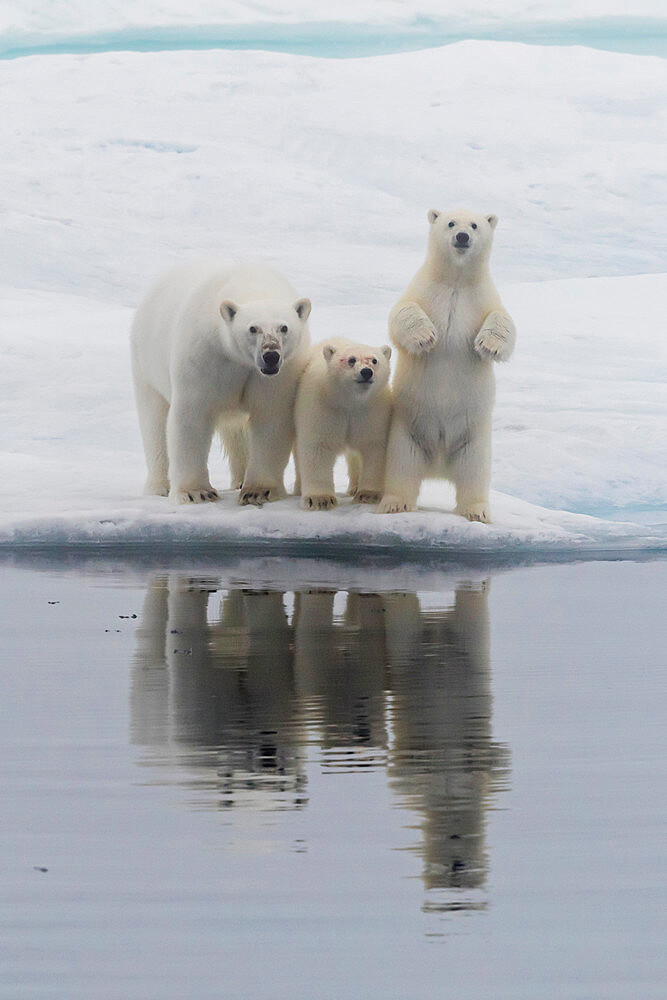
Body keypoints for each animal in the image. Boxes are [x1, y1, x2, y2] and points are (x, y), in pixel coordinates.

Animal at [130, 262, 314, 504]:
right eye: (252, 328)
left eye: (284, 327)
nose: (271, 355)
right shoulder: (206, 356)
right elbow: (192, 417)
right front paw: (196, 492)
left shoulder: (281, 374)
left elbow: (270, 418)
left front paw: (258, 491)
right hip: (146, 364)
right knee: (154, 422)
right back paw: (158, 486)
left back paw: (241, 480)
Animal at [296, 338, 392, 512]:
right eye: (351, 360)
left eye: (375, 360)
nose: (366, 372)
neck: (348, 402)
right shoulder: (323, 406)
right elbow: (317, 447)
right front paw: (319, 499)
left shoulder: (372, 411)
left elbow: (374, 447)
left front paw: (368, 495)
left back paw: (354, 487)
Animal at [376, 211, 516, 524]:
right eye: (451, 223)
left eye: (475, 224)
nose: (462, 237)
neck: (456, 282)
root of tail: (438, 466)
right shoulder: (424, 292)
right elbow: (401, 314)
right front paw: (425, 336)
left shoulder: (481, 299)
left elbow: (503, 321)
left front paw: (488, 345)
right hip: (407, 434)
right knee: (402, 467)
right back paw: (395, 503)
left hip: (473, 440)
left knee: (474, 474)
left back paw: (477, 510)